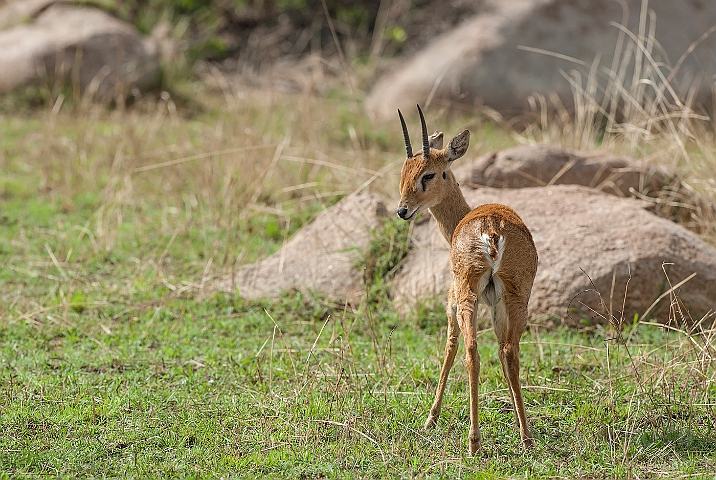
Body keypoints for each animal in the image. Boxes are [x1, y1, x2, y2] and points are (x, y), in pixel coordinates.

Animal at [398, 105, 536, 454]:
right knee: (510, 351)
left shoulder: (450, 304)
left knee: (471, 351)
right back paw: (526, 436)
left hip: (466, 297)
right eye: (403, 172)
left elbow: (449, 347)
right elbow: (502, 352)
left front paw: (430, 419)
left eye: (428, 174)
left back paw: (474, 441)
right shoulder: (497, 306)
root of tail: (492, 229)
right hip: (516, 299)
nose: (402, 210)